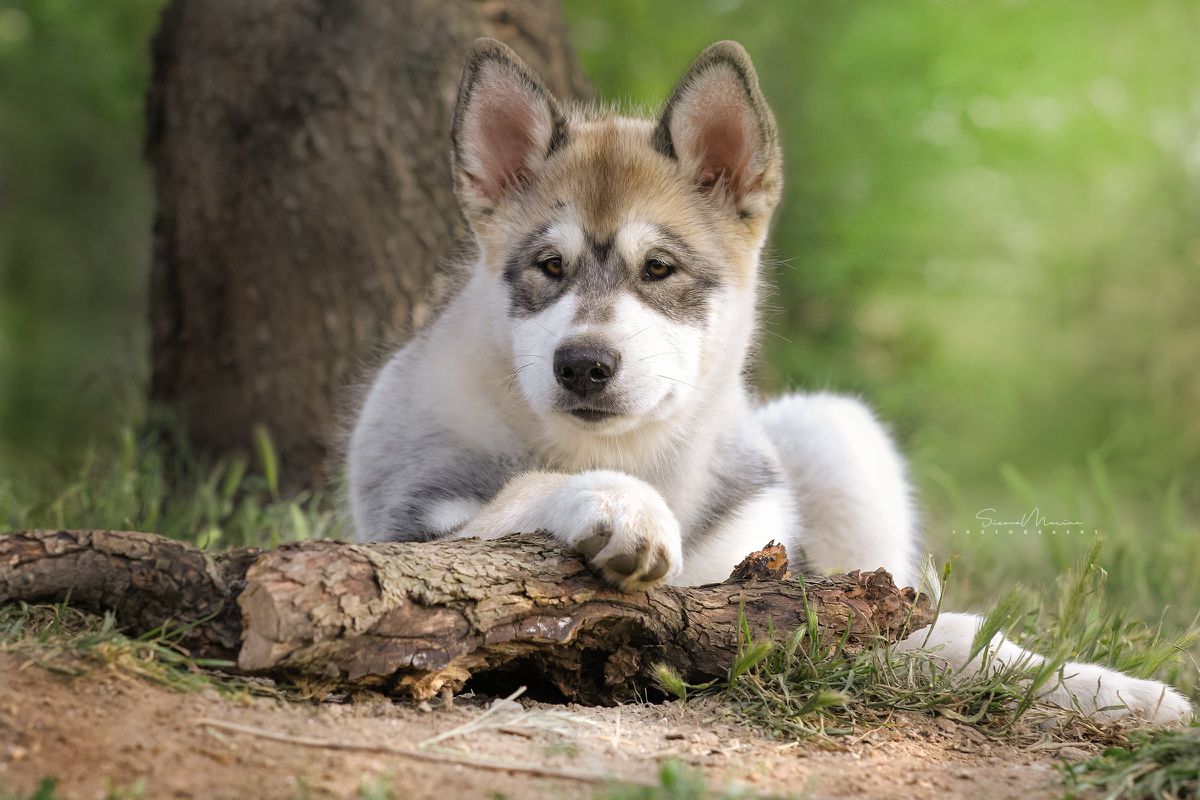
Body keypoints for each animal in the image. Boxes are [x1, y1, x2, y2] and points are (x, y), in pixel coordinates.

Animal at [348, 38, 1190, 724]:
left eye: (659, 269)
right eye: (549, 268)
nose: (582, 365)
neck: (640, 453)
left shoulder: (780, 588)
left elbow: (956, 637)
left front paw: (1121, 692)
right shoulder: (412, 535)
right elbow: (523, 490)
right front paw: (621, 507)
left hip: (836, 432)